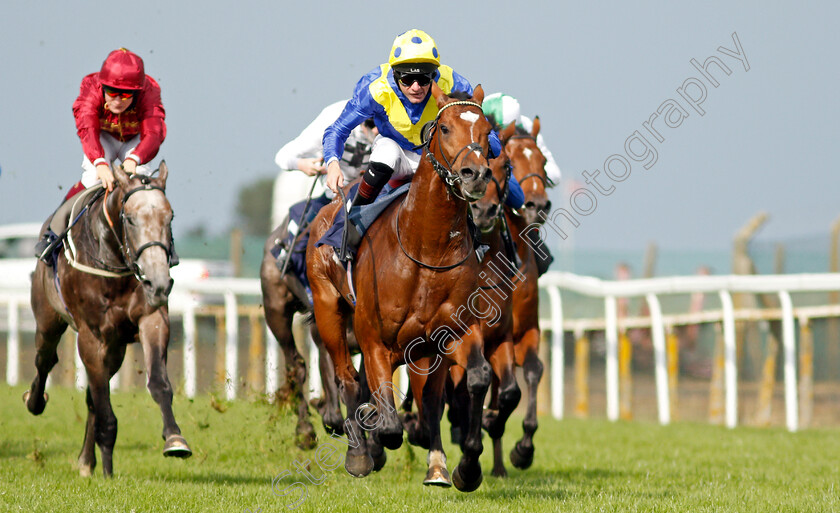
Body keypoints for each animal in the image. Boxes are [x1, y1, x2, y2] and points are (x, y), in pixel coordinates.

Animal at [23, 163, 192, 476]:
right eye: (130, 219)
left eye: (170, 216)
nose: (159, 282)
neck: (114, 261)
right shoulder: (91, 337)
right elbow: (104, 404)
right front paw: (108, 465)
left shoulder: (152, 318)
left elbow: (158, 383)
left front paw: (175, 439)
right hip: (48, 320)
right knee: (45, 359)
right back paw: (35, 401)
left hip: (115, 348)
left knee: (91, 395)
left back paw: (87, 460)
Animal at [306, 84, 492, 492]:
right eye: (445, 128)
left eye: (488, 131)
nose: (475, 174)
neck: (427, 248)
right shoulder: (374, 337)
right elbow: (388, 423)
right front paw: (371, 437)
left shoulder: (454, 329)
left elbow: (477, 377)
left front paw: (468, 466)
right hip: (328, 308)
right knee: (347, 378)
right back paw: (360, 453)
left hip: (421, 348)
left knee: (427, 398)